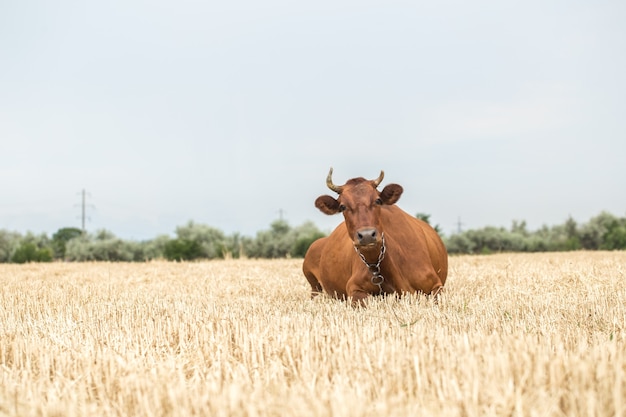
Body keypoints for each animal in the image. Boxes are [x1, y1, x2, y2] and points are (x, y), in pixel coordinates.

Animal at [302, 167, 444, 304]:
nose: (367, 235)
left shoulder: (436, 285)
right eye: (342, 206)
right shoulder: (354, 288)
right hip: (314, 286)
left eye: (378, 200)